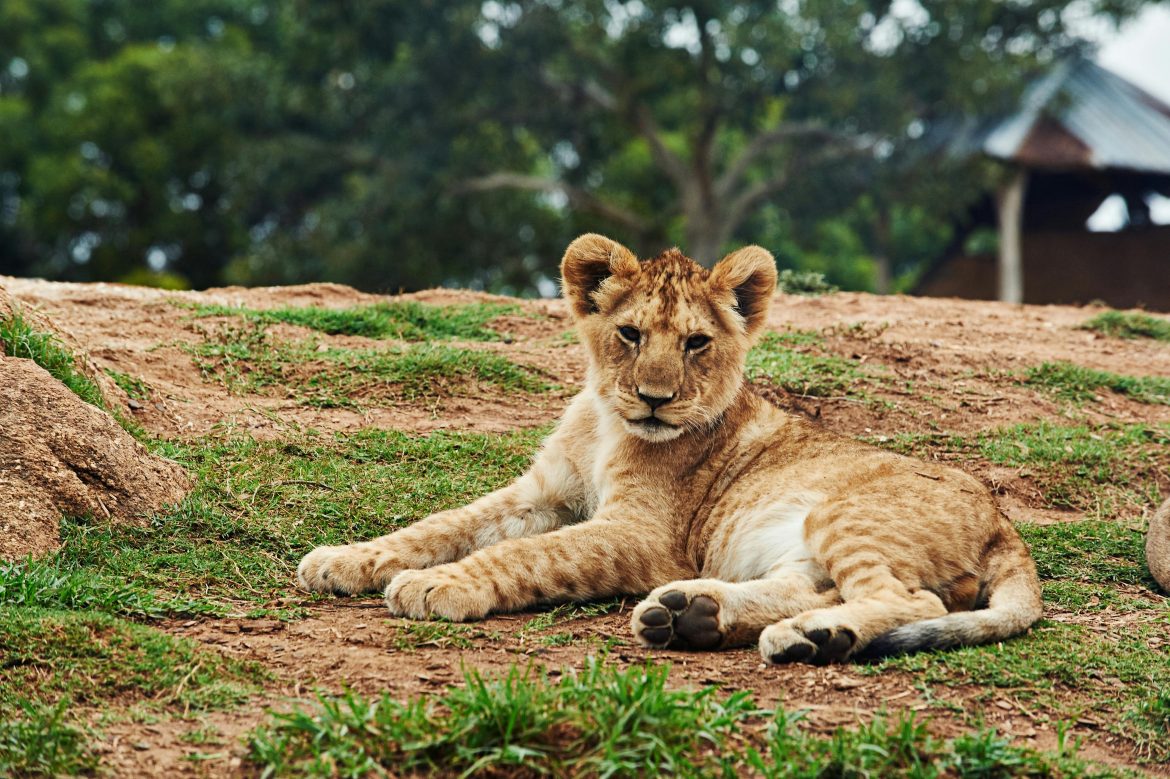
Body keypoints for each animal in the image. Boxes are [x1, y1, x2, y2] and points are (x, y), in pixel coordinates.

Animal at [298, 234, 1042, 664]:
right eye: (629, 334)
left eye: (696, 343)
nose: (654, 399)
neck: (606, 420)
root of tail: (1006, 524)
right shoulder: (542, 493)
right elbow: (441, 524)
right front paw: (340, 560)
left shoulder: (642, 533)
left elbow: (527, 555)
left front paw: (438, 584)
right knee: (806, 586)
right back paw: (700, 616)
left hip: (845, 514)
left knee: (918, 603)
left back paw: (800, 637)